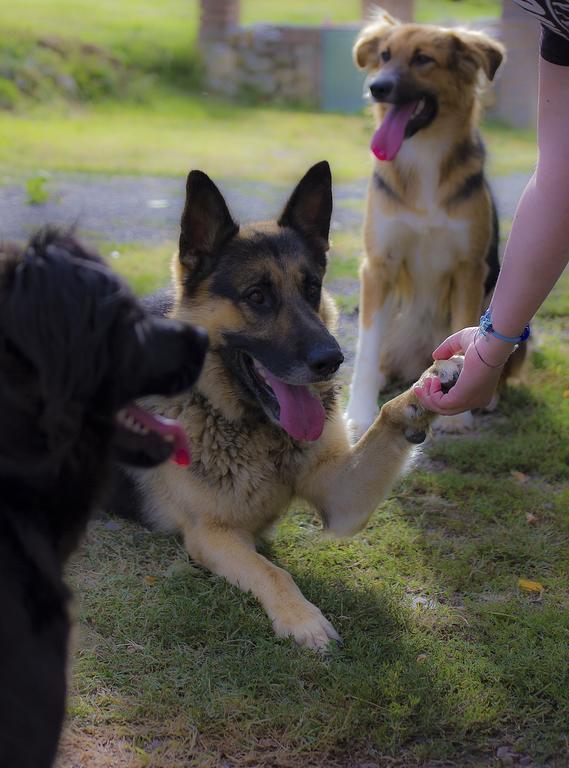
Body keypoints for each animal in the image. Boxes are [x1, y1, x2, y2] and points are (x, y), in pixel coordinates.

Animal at [110, 160, 462, 648]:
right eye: (257, 296)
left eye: (312, 288)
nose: (332, 360)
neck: (253, 429)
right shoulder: (211, 534)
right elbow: (273, 571)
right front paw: (302, 618)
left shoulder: (342, 497)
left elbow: (387, 417)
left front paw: (431, 383)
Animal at [344, 10, 504, 438]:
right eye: (384, 55)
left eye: (423, 59)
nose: (377, 88)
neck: (424, 155)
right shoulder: (378, 265)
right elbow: (367, 348)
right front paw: (360, 411)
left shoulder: (470, 268)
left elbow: (467, 332)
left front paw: (460, 413)